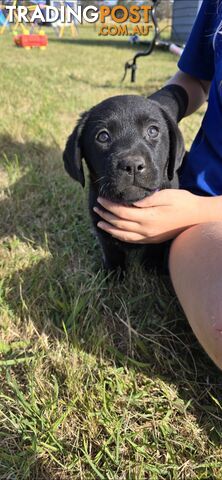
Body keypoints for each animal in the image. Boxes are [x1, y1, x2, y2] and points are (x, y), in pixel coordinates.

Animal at [63, 94, 185, 274]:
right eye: (103, 136)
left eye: (153, 131)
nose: (132, 165)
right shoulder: (101, 225)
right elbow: (112, 253)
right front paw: (113, 275)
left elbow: (155, 247)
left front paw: (151, 269)